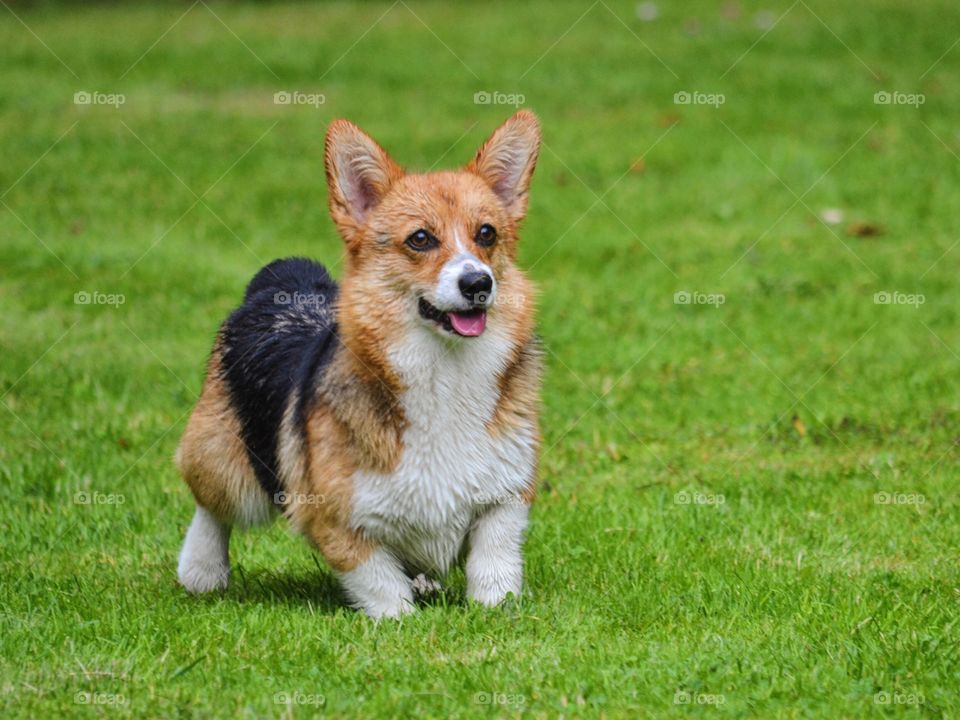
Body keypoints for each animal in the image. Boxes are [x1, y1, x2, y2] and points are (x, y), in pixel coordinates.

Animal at [174, 109, 540, 616]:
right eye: (420, 239)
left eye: (486, 233)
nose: (478, 283)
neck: (444, 373)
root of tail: (282, 277)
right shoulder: (335, 516)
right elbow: (379, 580)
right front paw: (399, 619)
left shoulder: (506, 493)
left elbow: (495, 558)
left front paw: (497, 609)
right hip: (225, 463)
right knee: (212, 508)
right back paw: (202, 570)